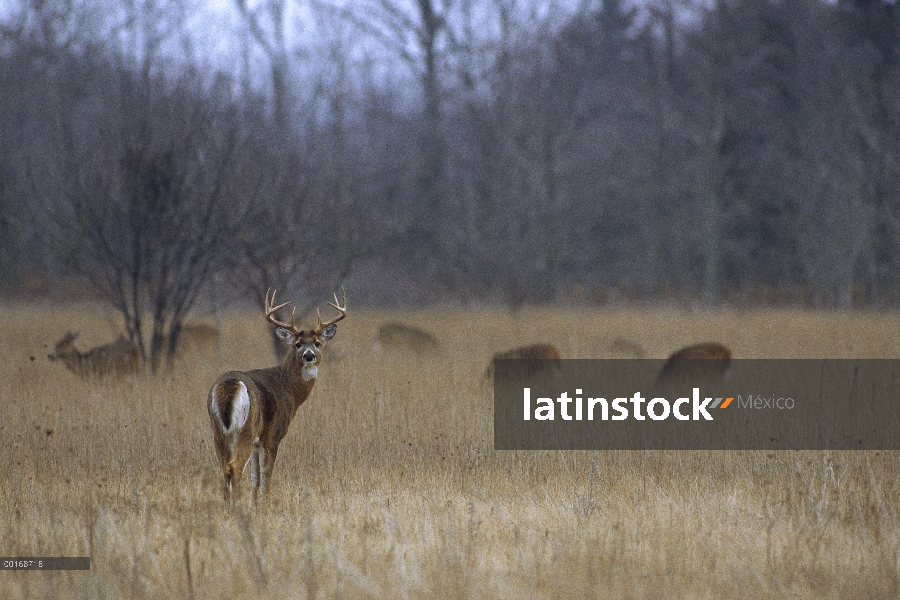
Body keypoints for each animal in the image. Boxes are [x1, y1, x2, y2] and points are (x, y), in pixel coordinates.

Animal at [209, 288, 346, 504]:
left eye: (317, 343)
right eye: (297, 344)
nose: (309, 355)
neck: (288, 388)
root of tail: (229, 384)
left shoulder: (258, 442)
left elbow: (255, 478)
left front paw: (255, 505)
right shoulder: (272, 435)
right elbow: (267, 474)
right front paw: (266, 504)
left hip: (218, 431)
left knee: (224, 468)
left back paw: (227, 505)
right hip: (245, 429)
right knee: (234, 467)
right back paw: (236, 506)